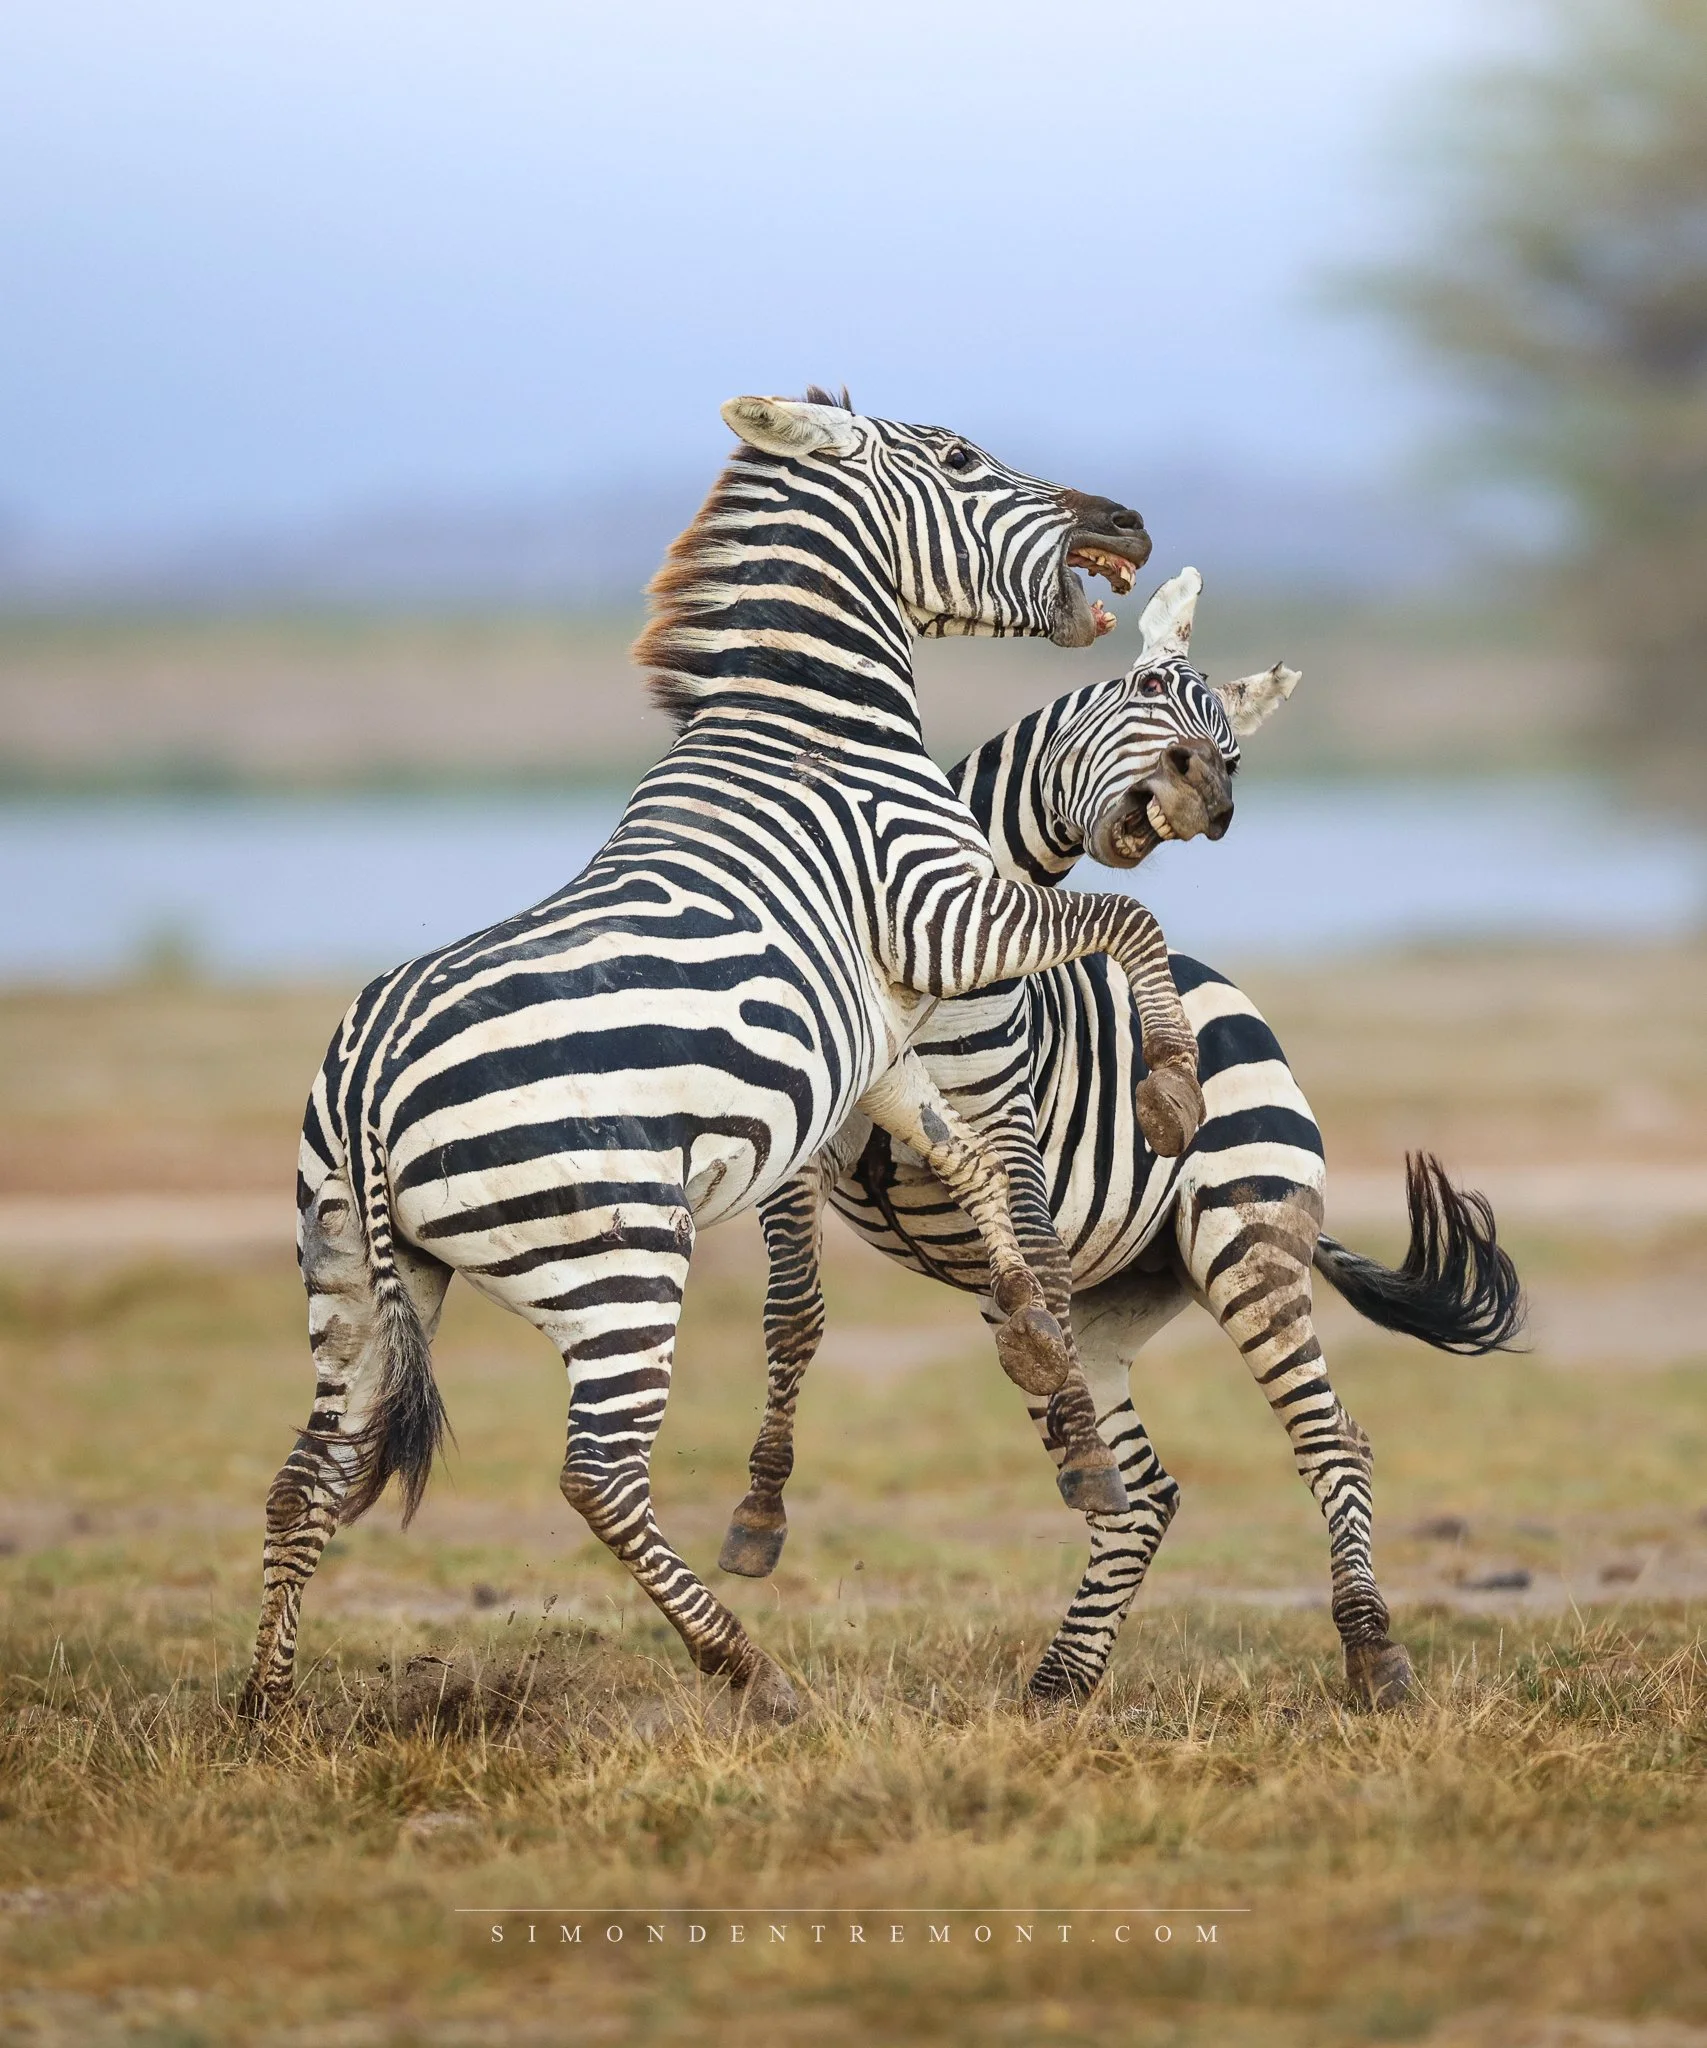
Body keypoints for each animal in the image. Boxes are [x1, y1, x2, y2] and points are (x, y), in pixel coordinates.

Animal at [240, 392, 1235, 1724]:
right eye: (962, 457)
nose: (1128, 519)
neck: (817, 731)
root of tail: (367, 1073)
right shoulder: (946, 911)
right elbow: (1131, 920)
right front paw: (1172, 1084)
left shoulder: (880, 1027)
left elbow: (968, 1158)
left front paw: (1035, 1332)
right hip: (614, 1263)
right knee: (598, 1474)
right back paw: (753, 1672)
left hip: (348, 1266)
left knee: (313, 1470)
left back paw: (266, 1706)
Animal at [720, 568, 1526, 1709]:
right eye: (1143, 686)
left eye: (1234, 745)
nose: (1208, 791)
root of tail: (1221, 990)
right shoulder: (812, 1146)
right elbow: (794, 1313)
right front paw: (758, 1515)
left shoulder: (1002, 1128)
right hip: (1115, 1305)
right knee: (1145, 1490)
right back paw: (1061, 1676)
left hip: (1246, 1244)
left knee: (1335, 1442)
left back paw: (1375, 1659)